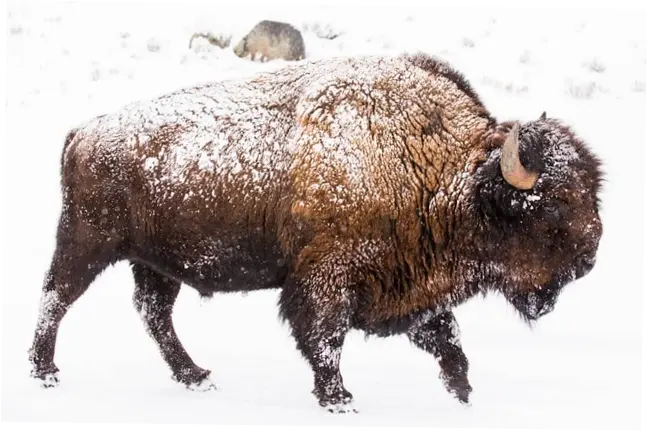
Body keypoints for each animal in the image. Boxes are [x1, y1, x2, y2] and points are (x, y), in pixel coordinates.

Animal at [28, 53, 603, 413]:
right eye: (551, 208)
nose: (590, 257)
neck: (442, 171)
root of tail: (84, 132)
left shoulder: (413, 287)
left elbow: (448, 341)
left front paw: (463, 395)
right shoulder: (327, 278)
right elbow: (325, 339)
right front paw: (339, 399)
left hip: (155, 262)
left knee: (154, 315)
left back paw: (196, 377)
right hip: (87, 243)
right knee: (56, 298)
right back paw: (45, 372)